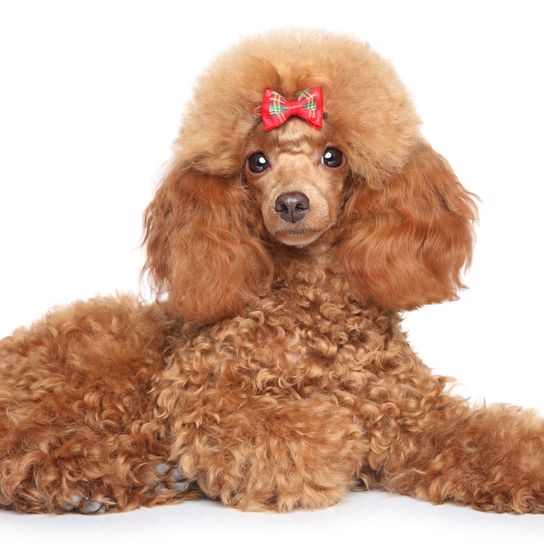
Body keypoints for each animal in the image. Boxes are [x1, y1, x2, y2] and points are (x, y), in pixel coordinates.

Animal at [2, 29, 540, 516]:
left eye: (333, 156)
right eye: (256, 162)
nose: (292, 203)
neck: (312, 311)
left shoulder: (416, 417)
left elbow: (483, 437)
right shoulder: (205, 397)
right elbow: (290, 433)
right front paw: (338, 441)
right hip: (102, 362)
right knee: (22, 443)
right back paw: (91, 479)